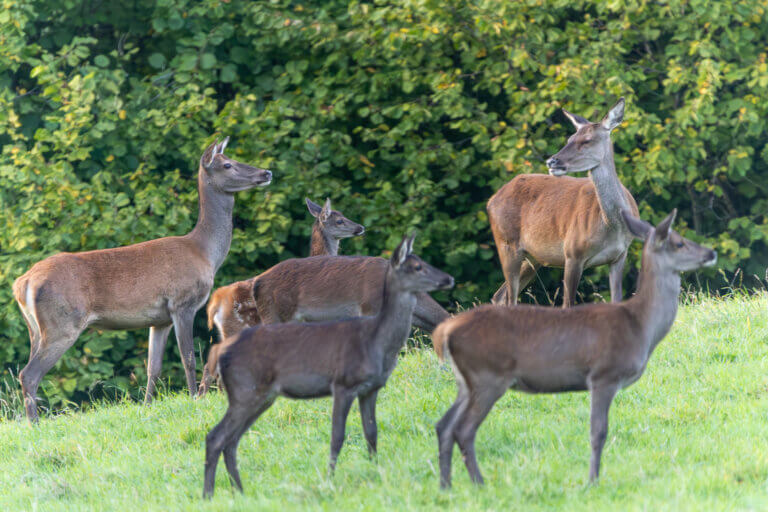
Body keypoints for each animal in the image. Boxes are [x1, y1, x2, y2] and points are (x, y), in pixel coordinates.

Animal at [12, 137, 272, 422]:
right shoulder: (183, 303)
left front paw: (147, 406)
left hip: (35, 329)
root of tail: (23, 283)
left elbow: (153, 367)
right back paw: (34, 423)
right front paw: (194, 398)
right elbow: (188, 357)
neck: (204, 252)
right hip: (63, 323)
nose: (266, 173)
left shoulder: (159, 319)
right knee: (29, 373)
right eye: (227, 164)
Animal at [432, 209, 717, 488]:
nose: (711, 253)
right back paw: (479, 483)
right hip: (488, 376)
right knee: (464, 429)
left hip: (467, 382)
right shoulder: (604, 375)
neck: (640, 325)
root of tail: (445, 332)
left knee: (443, 425)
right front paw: (592, 482)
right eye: (679, 242)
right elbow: (598, 431)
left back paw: (447, 486)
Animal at [488, 98, 639, 307]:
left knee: (499, 296)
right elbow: (568, 304)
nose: (552, 161)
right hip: (506, 243)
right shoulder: (572, 253)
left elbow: (617, 300)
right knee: (509, 299)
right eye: (569, 139)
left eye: (586, 140)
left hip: (533, 256)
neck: (612, 226)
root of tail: (491, 200)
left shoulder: (620, 255)